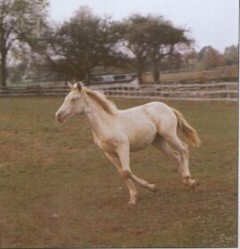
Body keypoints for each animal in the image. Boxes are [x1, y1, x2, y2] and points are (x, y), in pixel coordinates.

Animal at [55, 81, 201, 204]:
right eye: (65, 98)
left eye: (74, 99)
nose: (58, 116)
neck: (106, 123)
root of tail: (167, 107)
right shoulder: (109, 153)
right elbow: (123, 174)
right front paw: (133, 198)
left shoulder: (123, 147)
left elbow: (126, 171)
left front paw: (152, 187)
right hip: (158, 141)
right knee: (175, 156)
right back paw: (187, 182)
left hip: (169, 134)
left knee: (184, 149)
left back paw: (190, 180)